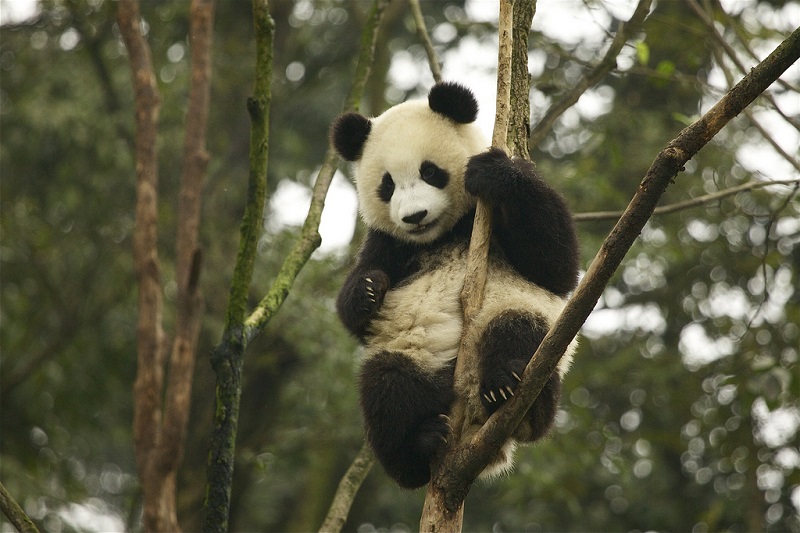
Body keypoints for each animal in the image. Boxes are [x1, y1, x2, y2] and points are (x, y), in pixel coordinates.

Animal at [332, 81, 580, 488]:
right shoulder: (389, 242)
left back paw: (507, 388)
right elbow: (357, 315)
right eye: (387, 185)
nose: (414, 216)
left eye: (430, 171)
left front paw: (493, 172)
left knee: (519, 329)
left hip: (521, 325)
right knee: (385, 385)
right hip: (412, 359)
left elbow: (555, 267)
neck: (443, 234)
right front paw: (368, 289)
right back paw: (421, 446)